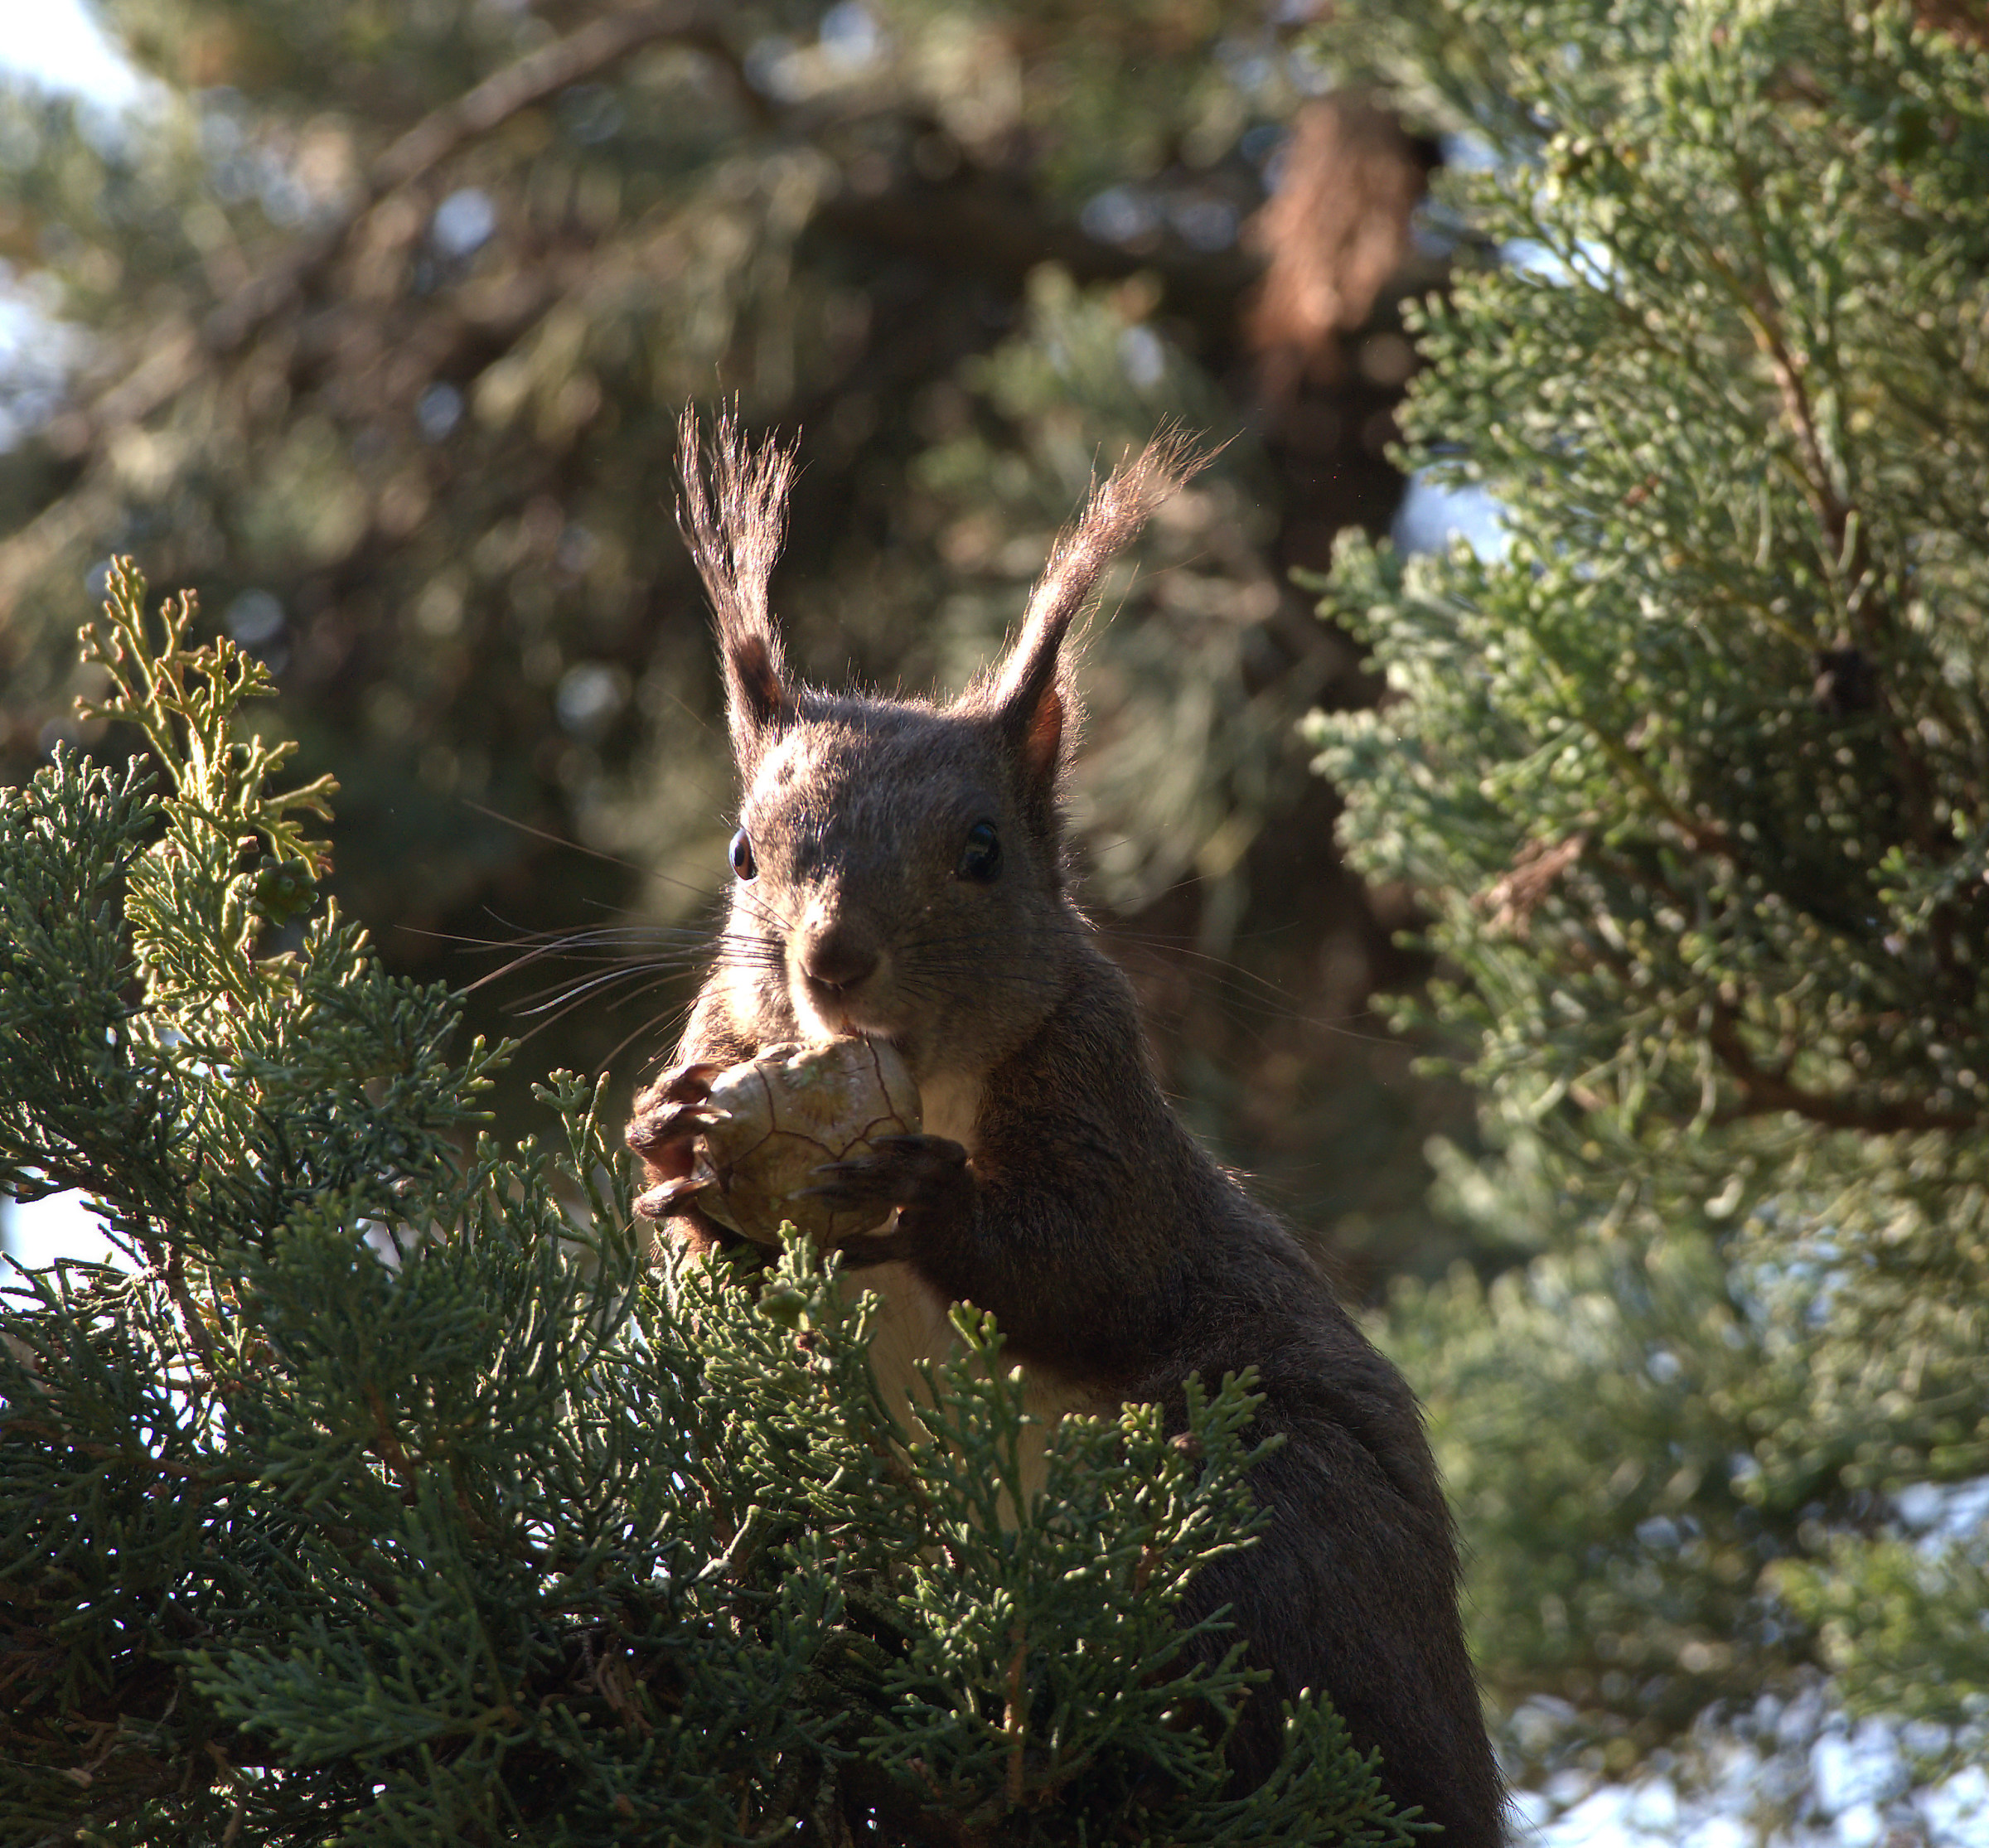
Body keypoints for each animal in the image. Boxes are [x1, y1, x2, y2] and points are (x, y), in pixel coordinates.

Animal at [626, 409, 1504, 1846]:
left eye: (983, 849)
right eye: (745, 855)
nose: (832, 962)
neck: (920, 1080)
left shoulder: (1106, 1094)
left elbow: (1097, 1262)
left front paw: (933, 1202)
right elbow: (715, 1280)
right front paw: (671, 1153)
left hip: (1270, 1514)